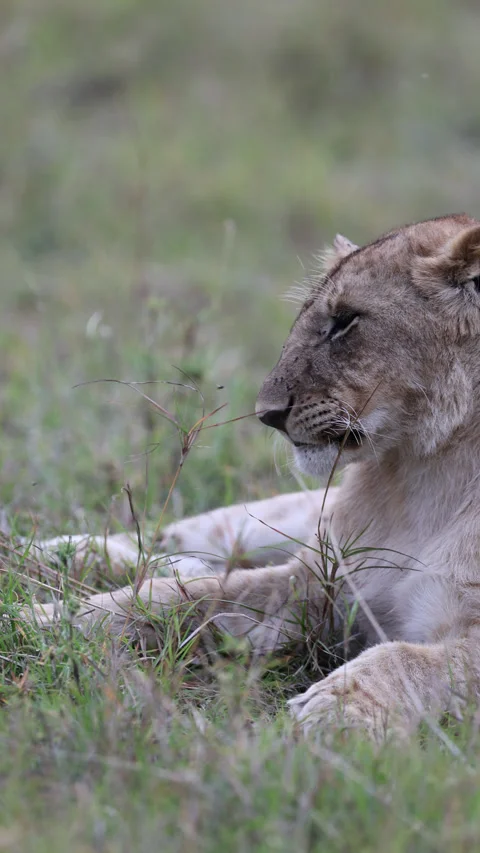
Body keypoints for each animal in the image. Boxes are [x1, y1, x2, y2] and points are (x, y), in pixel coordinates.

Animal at [29, 213, 480, 741]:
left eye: (346, 320)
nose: (267, 414)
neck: (429, 468)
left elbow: (405, 660)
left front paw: (332, 711)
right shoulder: (317, 582)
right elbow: (173, 599)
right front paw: (41, 618)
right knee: (179, 544)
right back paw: (45, 554)